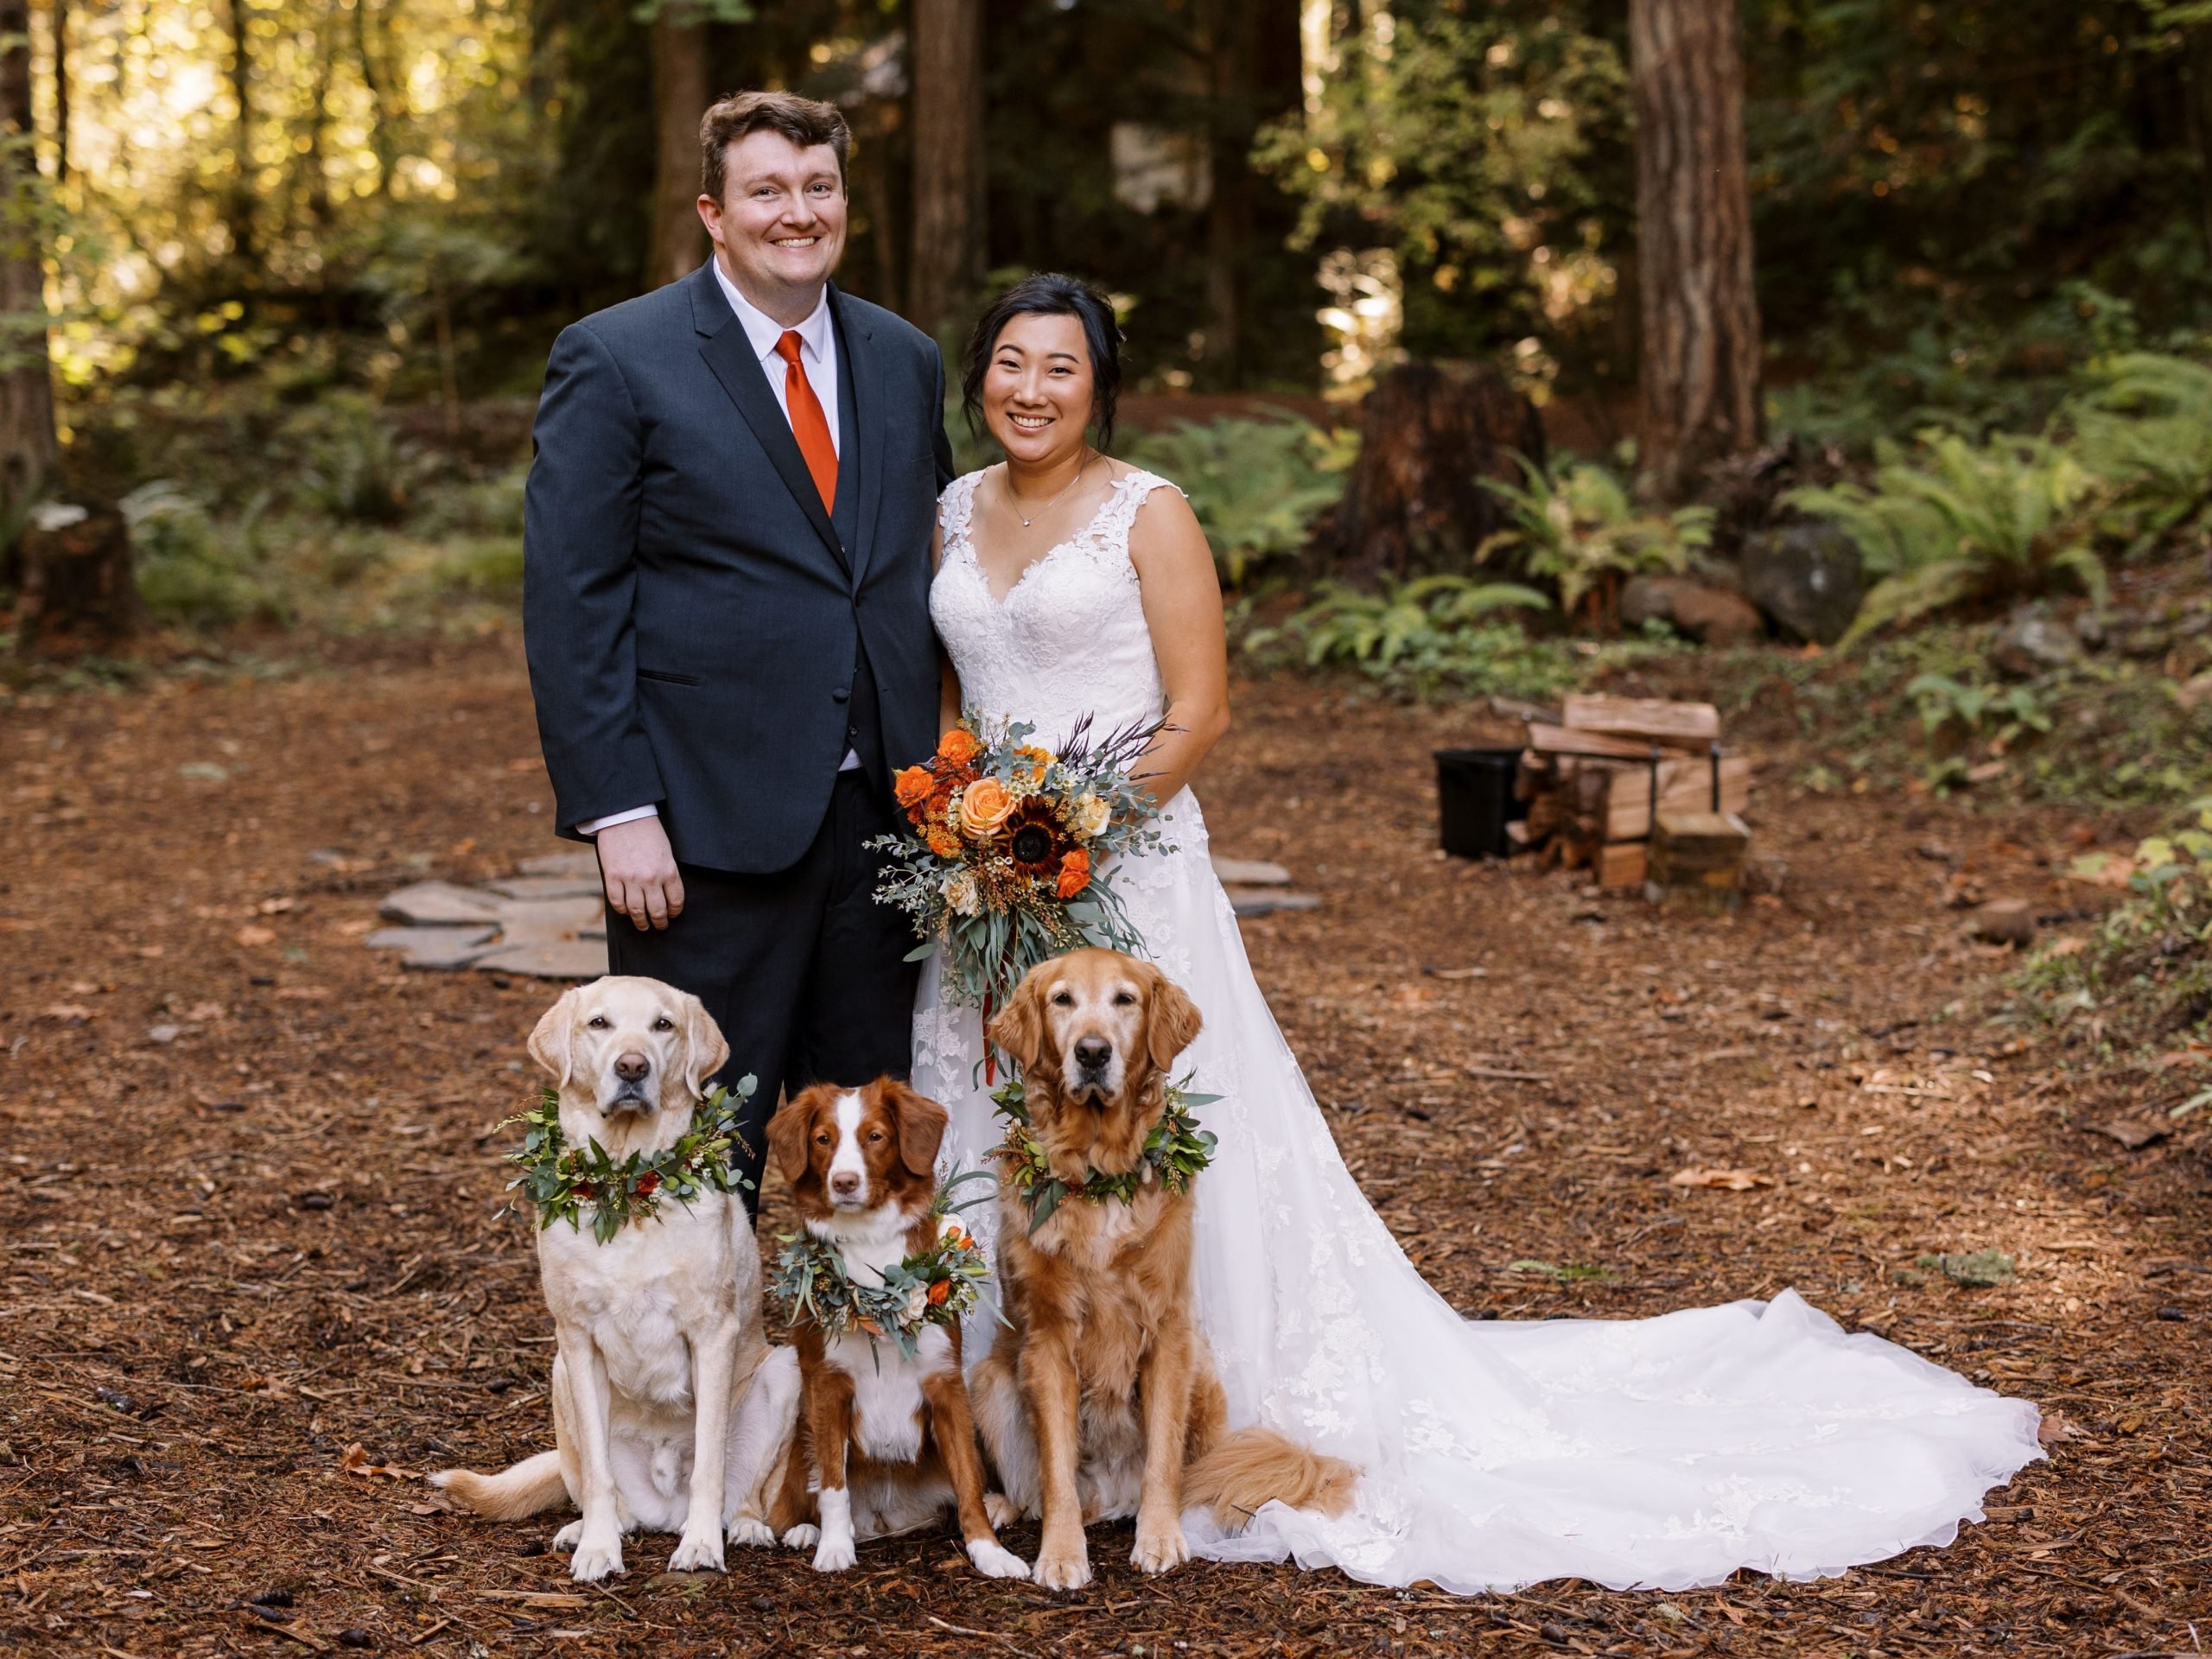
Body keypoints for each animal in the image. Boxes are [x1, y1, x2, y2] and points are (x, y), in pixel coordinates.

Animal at [427, 986, 800, 1583]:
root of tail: (662, 1509)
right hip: (558, 1375)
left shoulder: (712, 1335)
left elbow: (710, 1463)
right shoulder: (577, 1340)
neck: (626, 1185)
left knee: (747, 1492)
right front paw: (599, 1549)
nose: (632, 1067)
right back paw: (588, 1529)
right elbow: (599, 1476)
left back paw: (742, 1527)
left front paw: (701, 1546)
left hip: (784, 1371)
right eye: (599, 1023)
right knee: (596, 1487)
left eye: (663, 1025)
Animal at [765, 1079, 1030, 1583]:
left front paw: (989, 1551)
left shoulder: (945, 1383)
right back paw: (804, 1531)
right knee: (796, 1497)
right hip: (802, 1432)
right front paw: (834, 1547)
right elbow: (832, 1484)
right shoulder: (827, 1385)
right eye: (823, 1140)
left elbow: (968, 1480)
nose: (844, 1182)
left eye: (875, 1137)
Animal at [973, 960, 1353, 1601]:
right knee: (1036, 1488)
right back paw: (1003, 1505)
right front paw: (1061, 1554)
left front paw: (1159, 1539)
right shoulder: (1047, 1339)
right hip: (991, 1378)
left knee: (1192, 1471)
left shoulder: (1169, 1330)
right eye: (1062, 1000)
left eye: (1124, 1000)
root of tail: (1110, 1497)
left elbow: (1163, 1458)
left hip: (1203, 1372)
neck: (1098, 1177)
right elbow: (1055, 1468)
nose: (1093, 1052)